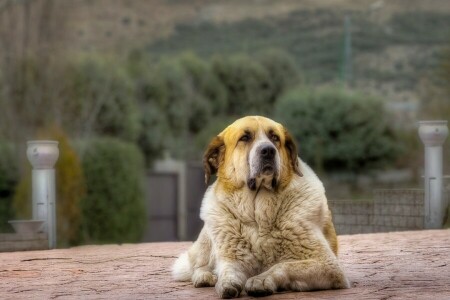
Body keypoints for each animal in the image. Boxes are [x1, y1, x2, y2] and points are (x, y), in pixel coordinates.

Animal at [171, 115, 348, 298]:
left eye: (275, 137)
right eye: (245, 138)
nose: (268, 150)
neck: (258, 216)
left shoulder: (327, 264)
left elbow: (283, 265)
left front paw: (261, 280)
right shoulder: (232, 259)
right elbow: (228, 270)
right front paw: (225, 282)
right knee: (198, 265)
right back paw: (205, 276)